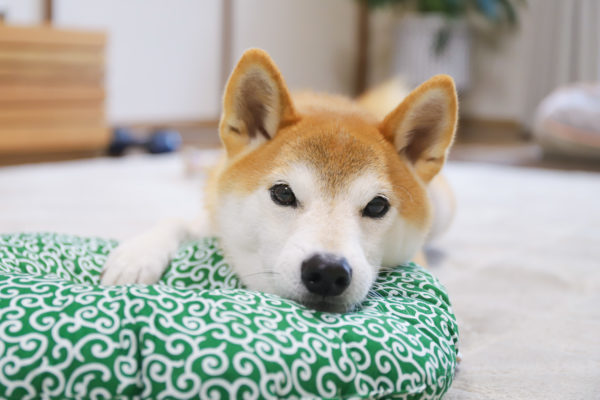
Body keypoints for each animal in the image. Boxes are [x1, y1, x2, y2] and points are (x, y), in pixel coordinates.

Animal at [102, 49, 460, 312]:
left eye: (376, 206)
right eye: (284, 194)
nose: (328, 271)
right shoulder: (215, 215)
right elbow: (175, 221)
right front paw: (136, 256)